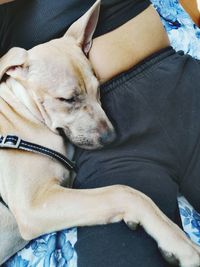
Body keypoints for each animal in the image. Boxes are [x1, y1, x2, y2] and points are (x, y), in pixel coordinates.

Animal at [0, 1, 199, 266]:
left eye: (98, 89)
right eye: (67, 99)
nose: (111, 138)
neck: (24, 110)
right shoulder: (34, 206)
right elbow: (124, 191)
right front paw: (181, 245)